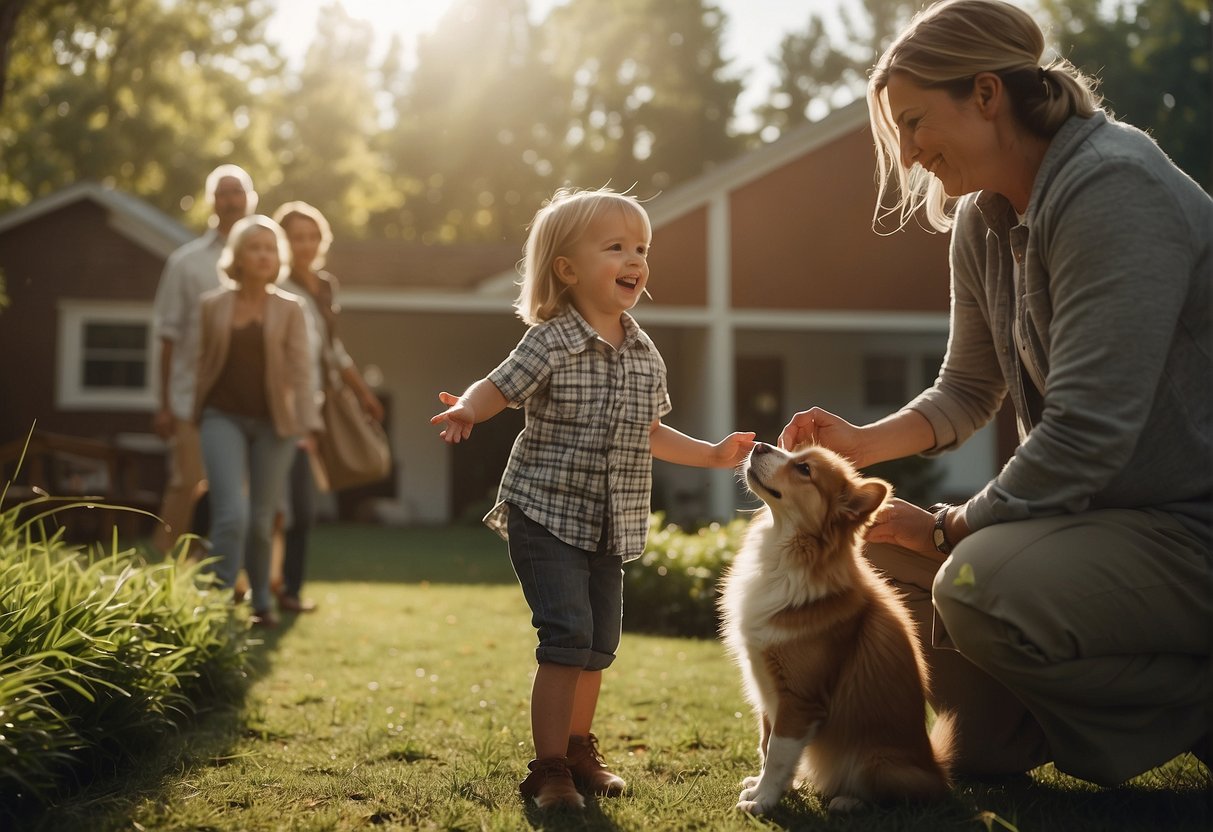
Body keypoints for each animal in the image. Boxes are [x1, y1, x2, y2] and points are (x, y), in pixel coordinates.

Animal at [713, 443, 950, 815]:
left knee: (900, 796)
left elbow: (778, 752)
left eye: (804, 469)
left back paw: (847, 800)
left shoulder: (799, 699)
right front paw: (770, 787)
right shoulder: (769, 690)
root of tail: (936, 768)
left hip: (878, 764)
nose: (759, 445)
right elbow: (767, 744)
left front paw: (764, 800)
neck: (787, 553)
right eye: (791, 451)